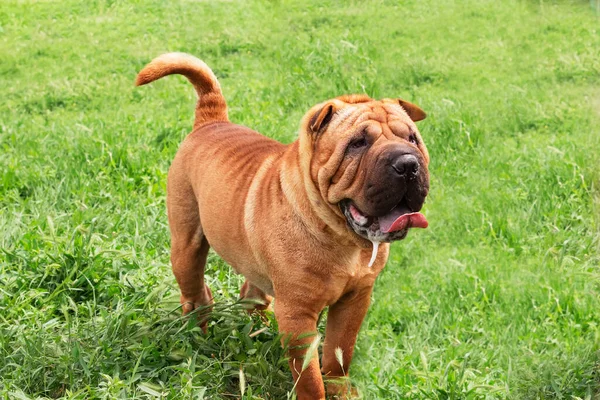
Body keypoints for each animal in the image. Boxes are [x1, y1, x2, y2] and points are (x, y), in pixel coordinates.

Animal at [136, 54, 428, 400]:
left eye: (412, 138)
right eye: (358, 143)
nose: (408, 163)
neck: (340, 237)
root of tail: (211, 120)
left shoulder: (355, 300)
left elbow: (339, 356)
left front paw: (341, 390)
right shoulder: (297, 315)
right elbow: (309, 376)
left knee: (250, 294)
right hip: (187, 244)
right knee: (196, 295)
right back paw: (198, 338)